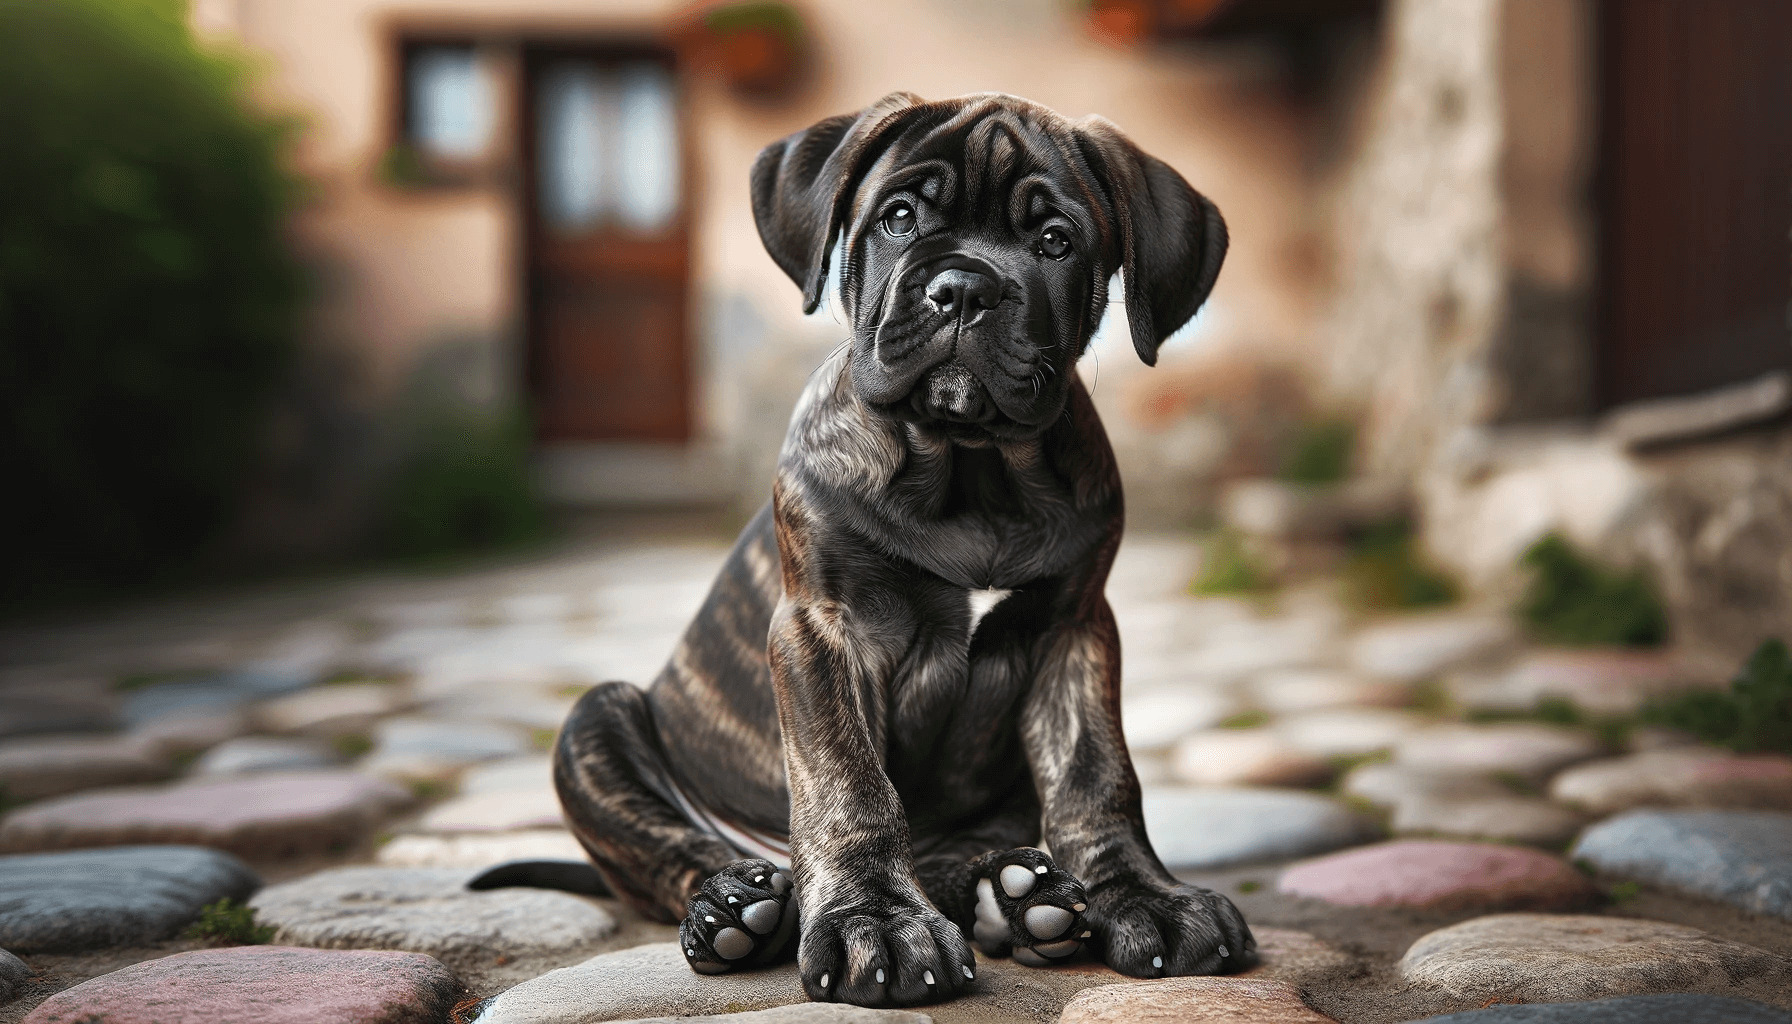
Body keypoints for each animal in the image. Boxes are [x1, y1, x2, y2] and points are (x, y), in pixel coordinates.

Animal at [519, 92, 1254, 1004]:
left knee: (965, 849)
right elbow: (849, 784)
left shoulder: (1075, 630)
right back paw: (736, 908)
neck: (971, 470)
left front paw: (1146, 897)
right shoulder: (824, 628)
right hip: (599, 721)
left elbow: (1097, 775)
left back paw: (1016, 898)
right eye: (899, 218)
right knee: (676, 855)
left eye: (1056, 241)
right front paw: (874, 920)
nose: (965, 287)